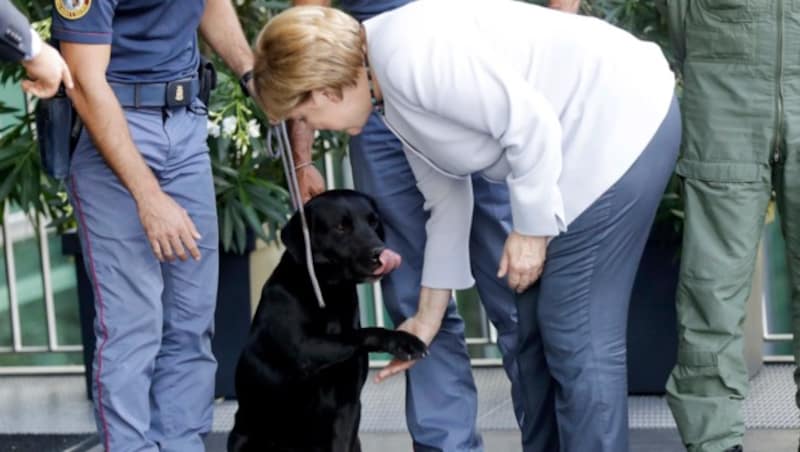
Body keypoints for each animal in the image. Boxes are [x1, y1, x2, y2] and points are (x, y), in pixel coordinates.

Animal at [227, 188, 424, 452]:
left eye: (373, 222)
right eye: (341, 227)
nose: (381, 253)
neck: (330, 294)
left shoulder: (348, 405)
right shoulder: (303, 348)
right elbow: (362, 332)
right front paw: (403, 341)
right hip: (244, 439)